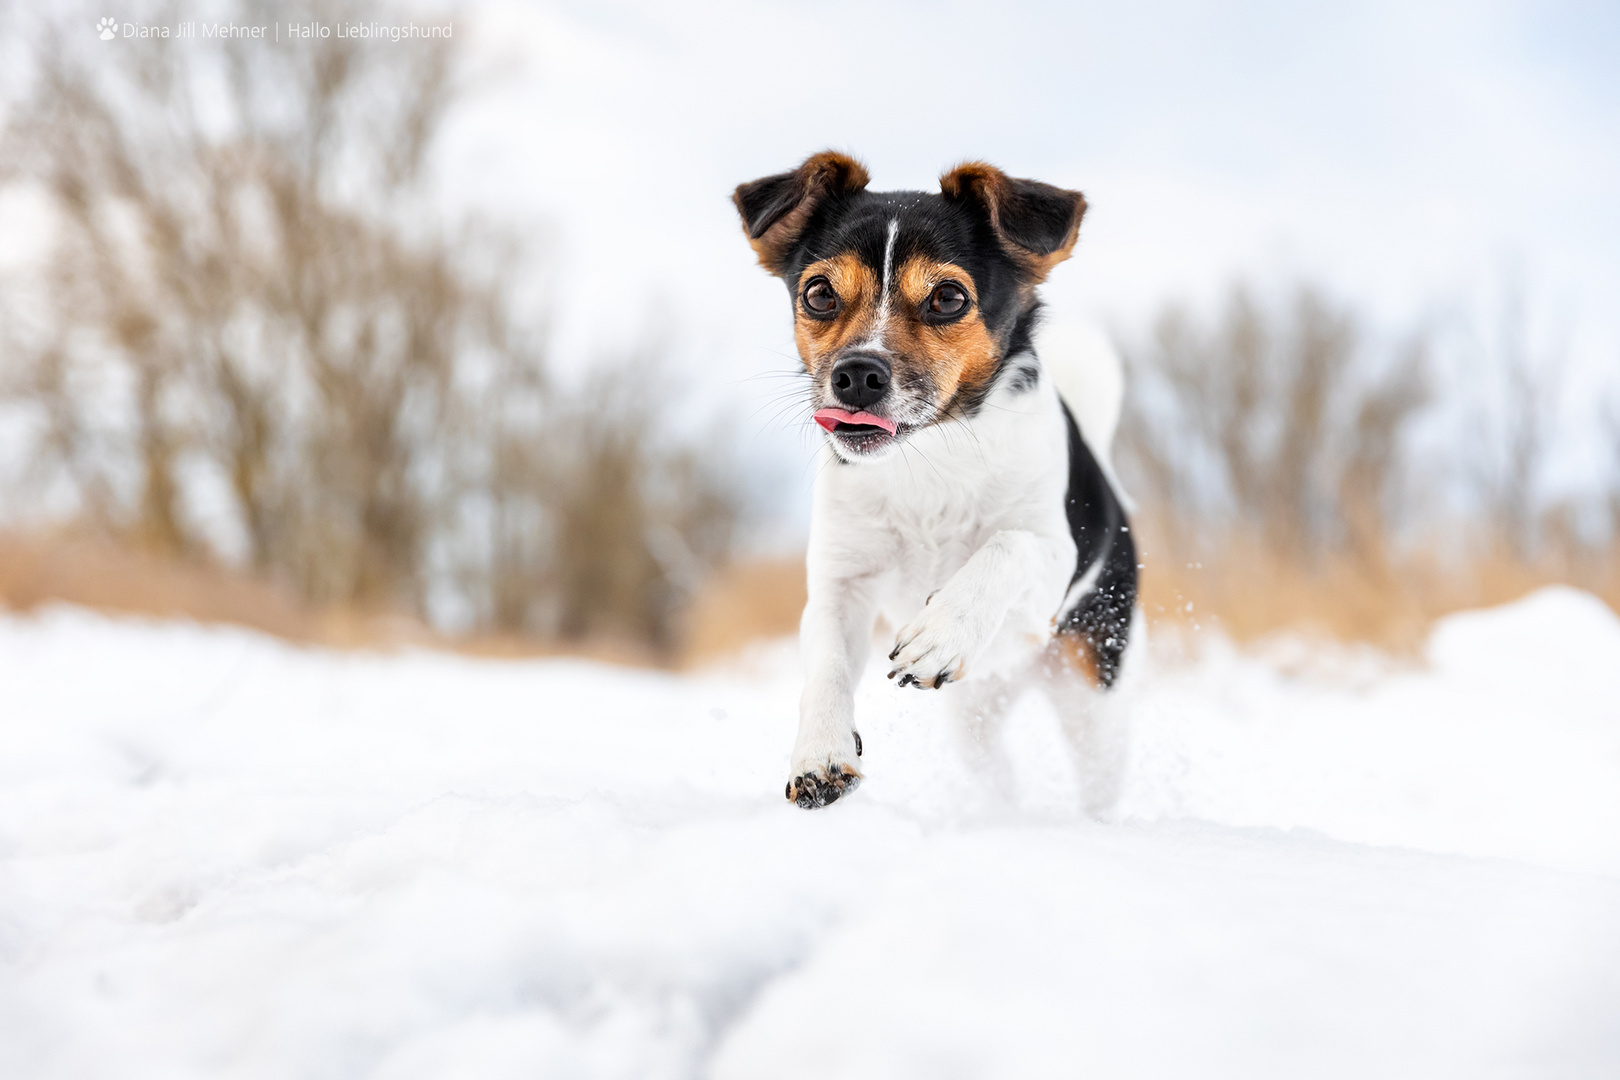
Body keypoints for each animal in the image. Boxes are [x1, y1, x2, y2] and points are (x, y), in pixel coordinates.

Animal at [735, 152, 1140, 809]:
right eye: (818, 293)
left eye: (948, 298)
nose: (857, 374)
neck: (926, 457)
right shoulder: (841, 585)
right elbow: (826, 667)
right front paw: (820, 753)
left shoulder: (1051, 565)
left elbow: (1007, 545)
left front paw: (944, 631)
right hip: (975, 719)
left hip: (1092, 694)